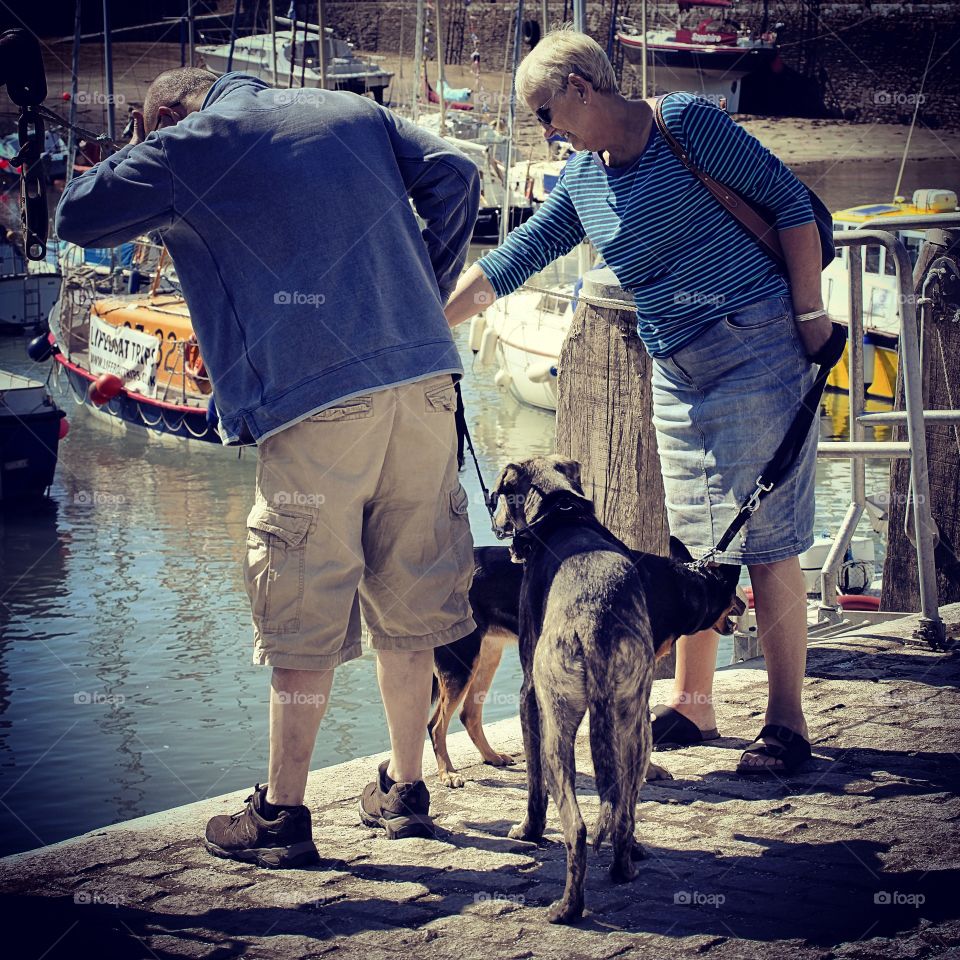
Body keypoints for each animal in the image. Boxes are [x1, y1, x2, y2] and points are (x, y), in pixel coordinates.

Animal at [488, 456, 744, 924]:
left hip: (556, 732)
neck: (562, 515)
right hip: (635, 721)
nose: (496, 525)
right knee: (623, 808)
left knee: (577, 826)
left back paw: (567, 908)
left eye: (500, 496)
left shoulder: (528, 694)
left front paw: (528, 831)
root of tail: (595, 623)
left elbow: (533, 786)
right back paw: (625, 866)